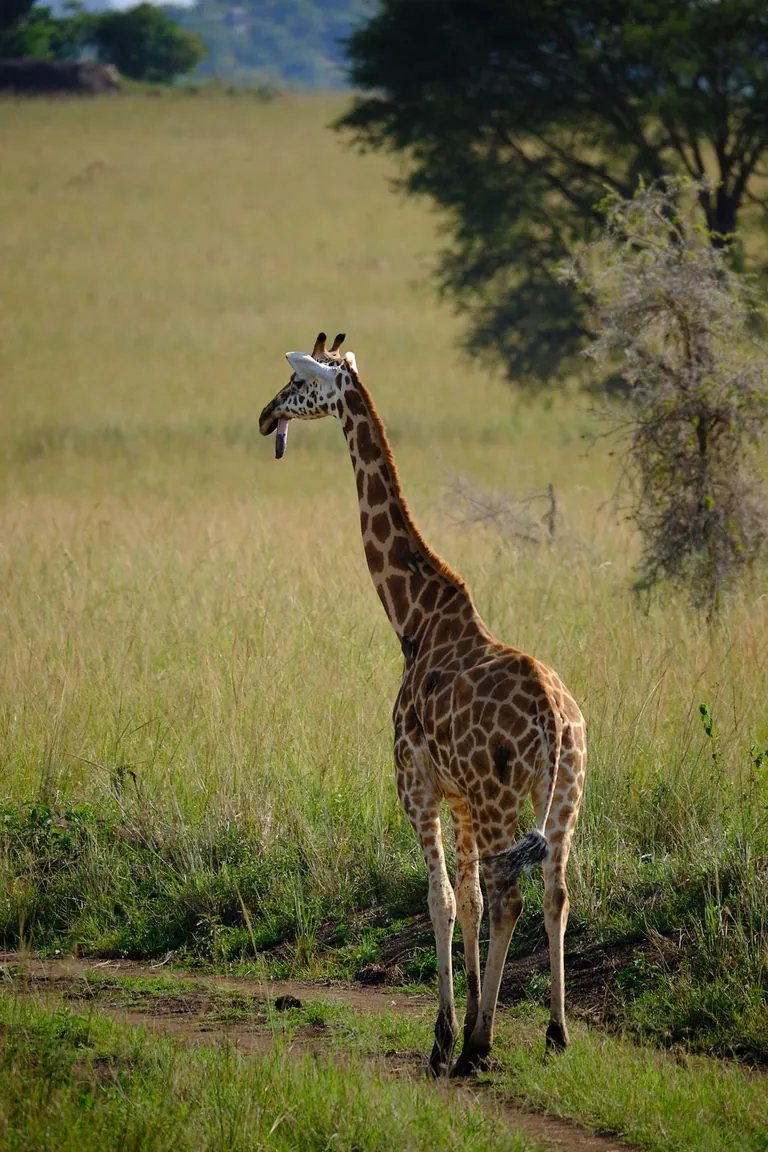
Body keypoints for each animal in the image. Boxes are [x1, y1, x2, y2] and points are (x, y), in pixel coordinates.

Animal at [259, 333, 587, 1077]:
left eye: (296, 384)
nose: (265, 418)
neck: (412, 619)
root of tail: (557, 721)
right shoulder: (459, 795)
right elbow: (465, 899)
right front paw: (461, 1016)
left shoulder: (415, 781)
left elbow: (440, 899)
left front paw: (444, 1035)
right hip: (564, 796)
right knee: (553, 890)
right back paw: (554, 1033)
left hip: (502, 799)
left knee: (512, 894)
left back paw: (478, 1048)